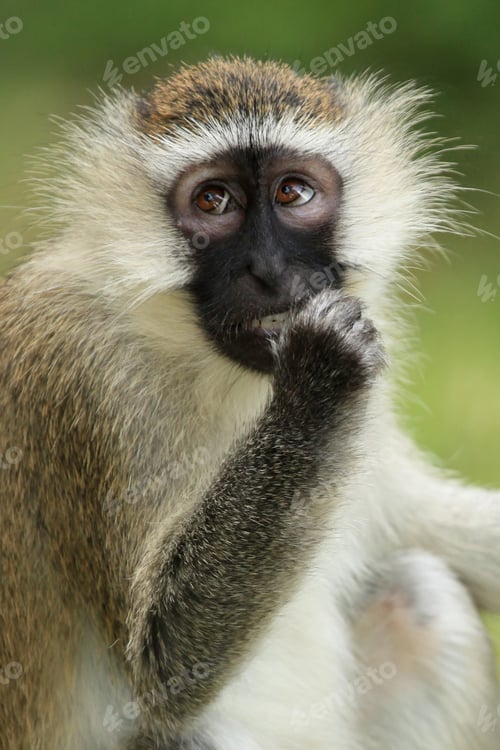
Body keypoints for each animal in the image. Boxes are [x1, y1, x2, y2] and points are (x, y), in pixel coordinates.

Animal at [0, 55, 499, 750]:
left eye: (293, 193)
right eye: (214, 200)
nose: (269, 270)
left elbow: (416, 521)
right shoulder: (79, 376)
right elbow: (164, 660)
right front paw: (321, 374)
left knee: (422, 597)